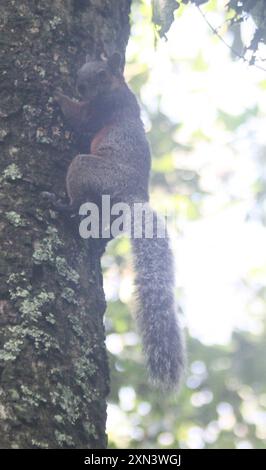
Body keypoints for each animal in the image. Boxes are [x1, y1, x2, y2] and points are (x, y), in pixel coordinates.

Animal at [50, 52, 185, 390]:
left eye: (99, 73)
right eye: (81, 70)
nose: (79, 86)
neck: (117, 87)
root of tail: (134, 198)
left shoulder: (102, 110)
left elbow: (80, 119)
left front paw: (54, 93)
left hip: (88, 169)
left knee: (77, 197)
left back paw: (64, 206)